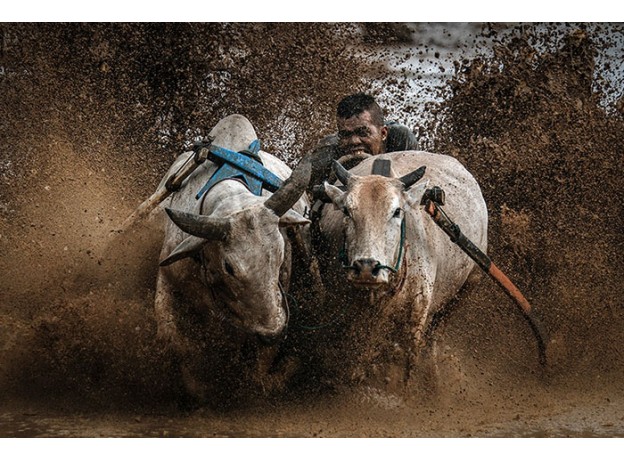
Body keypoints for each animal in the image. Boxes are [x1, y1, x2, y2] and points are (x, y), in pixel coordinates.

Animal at [152, 114, 311, 405]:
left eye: (280, 254)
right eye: (230, 267)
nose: (272, 332)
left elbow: (259, 370)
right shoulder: (167, 278)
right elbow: (174, 342)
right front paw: (198, 388)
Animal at [316, 150, 488, 396]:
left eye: (397, 211)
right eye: (347, 210)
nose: (366, 268)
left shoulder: (416, 314)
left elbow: (408, 360)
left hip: (470, 282)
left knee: (435, 335)